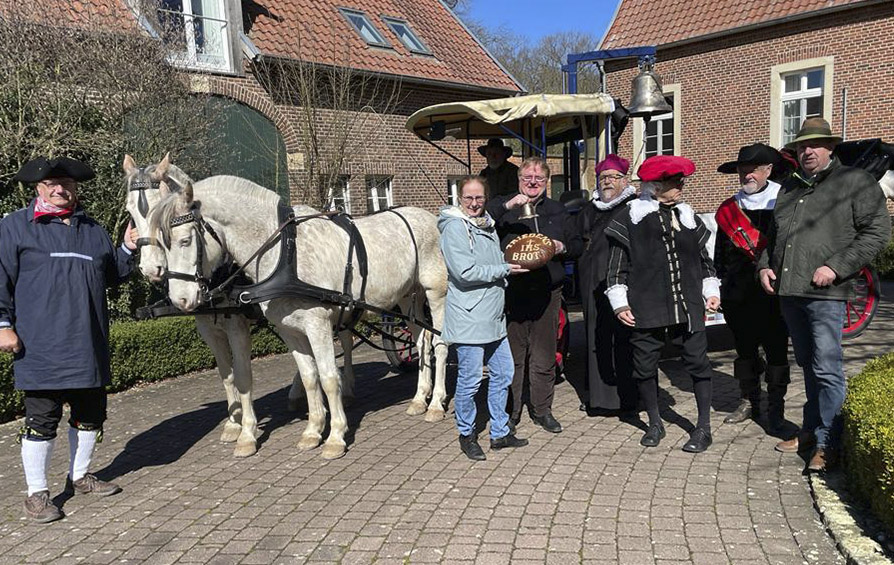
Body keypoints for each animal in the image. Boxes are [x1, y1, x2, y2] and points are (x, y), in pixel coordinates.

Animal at [150, 174, 452, 456]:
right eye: (161, 244)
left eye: (185, 240)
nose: (180, 299)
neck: (284, 252)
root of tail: (430, 217)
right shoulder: (289, 330)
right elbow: (309, 377)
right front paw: (313, 430)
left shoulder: (317, 324)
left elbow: (328, 378)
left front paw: (335, 436)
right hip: (407, 296)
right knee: (421, 341)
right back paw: (419, 399)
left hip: (436, 294)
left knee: (440, 344)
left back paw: (436, 403)